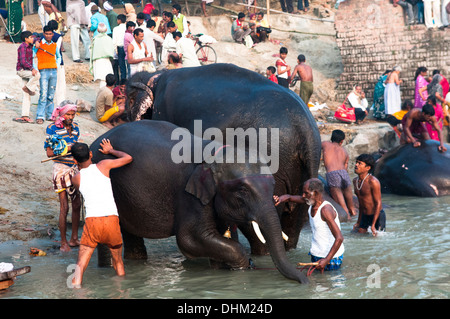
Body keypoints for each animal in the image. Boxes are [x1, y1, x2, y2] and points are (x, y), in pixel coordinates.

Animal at [91, 120, 310, 284]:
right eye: (242, 191)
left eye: (273, 185)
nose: (305, 281)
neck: (217, 152)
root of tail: (96, 141)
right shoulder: (189, 196)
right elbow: (191, 238)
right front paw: (242, 267)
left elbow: (223, 237)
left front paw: (221, 269)